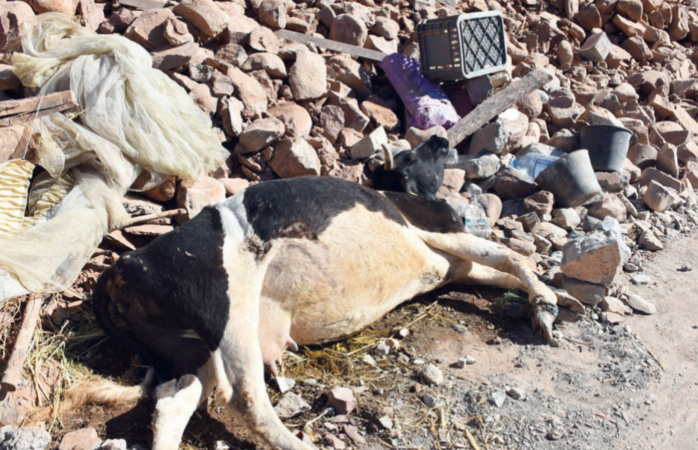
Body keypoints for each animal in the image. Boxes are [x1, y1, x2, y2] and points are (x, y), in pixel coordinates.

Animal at [85, 174, 556, 448]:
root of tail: (125, 264)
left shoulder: (449, 262)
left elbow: (499, 271)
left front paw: (547, 305)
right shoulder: (437, 233)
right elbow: (509, 256)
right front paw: (548, 305)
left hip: (194, 351)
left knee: (173, 404)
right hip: (227, 306)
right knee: (246, 398)